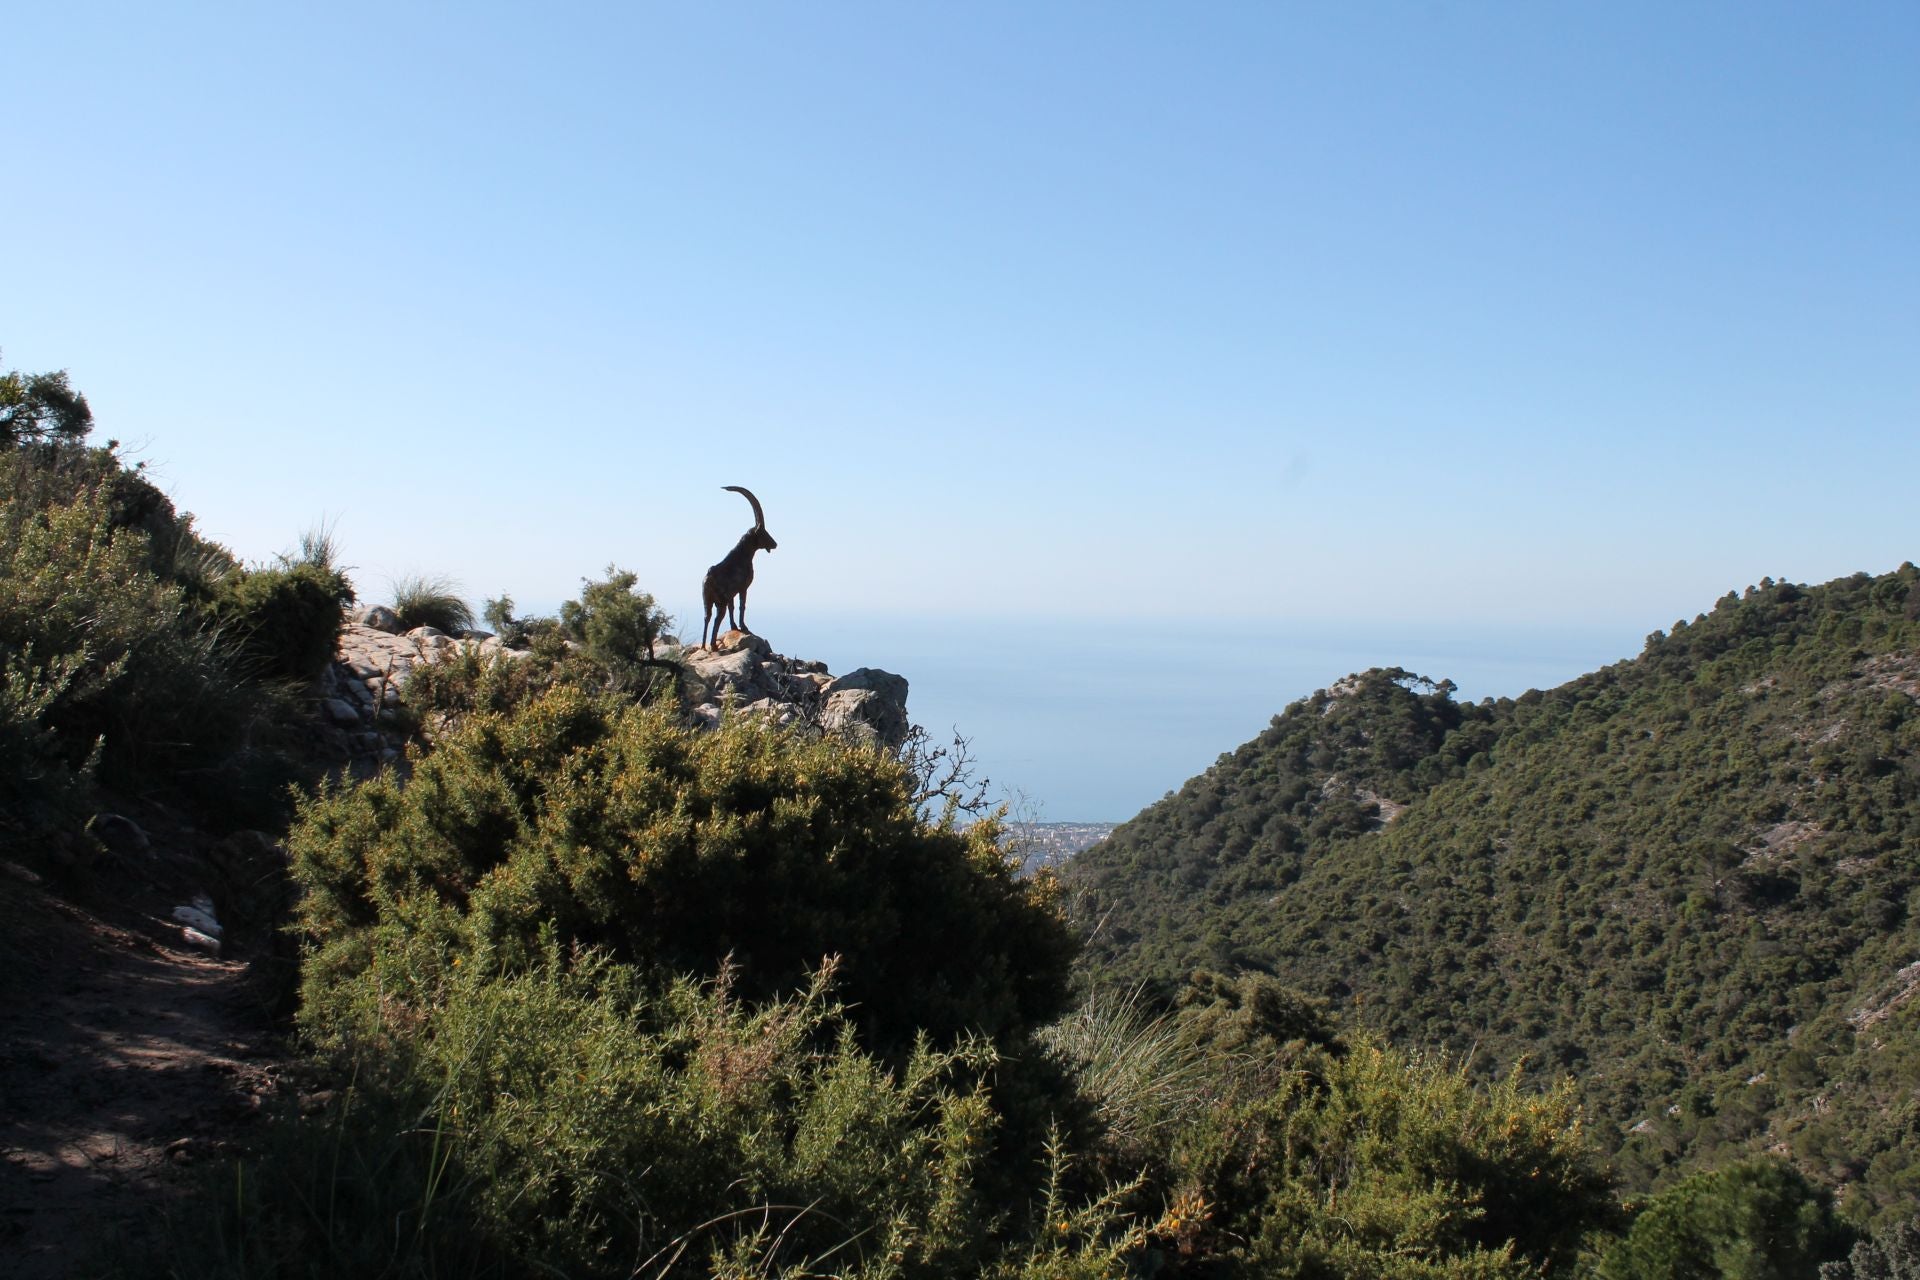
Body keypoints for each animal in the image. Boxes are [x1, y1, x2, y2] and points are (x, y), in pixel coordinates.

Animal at [701, 485, 777, 648]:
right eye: (763, 532)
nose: (775, 544)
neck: (743, 555)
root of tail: (709, 578)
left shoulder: (731, 594)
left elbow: (733, 607)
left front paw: (734, 626)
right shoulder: (743, 588)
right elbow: (742, 606)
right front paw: (744, 627)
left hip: (707, 600)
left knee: (707, 617)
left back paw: (704, 646)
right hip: (720, 601)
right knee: (717, 618)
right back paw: (713, 645)